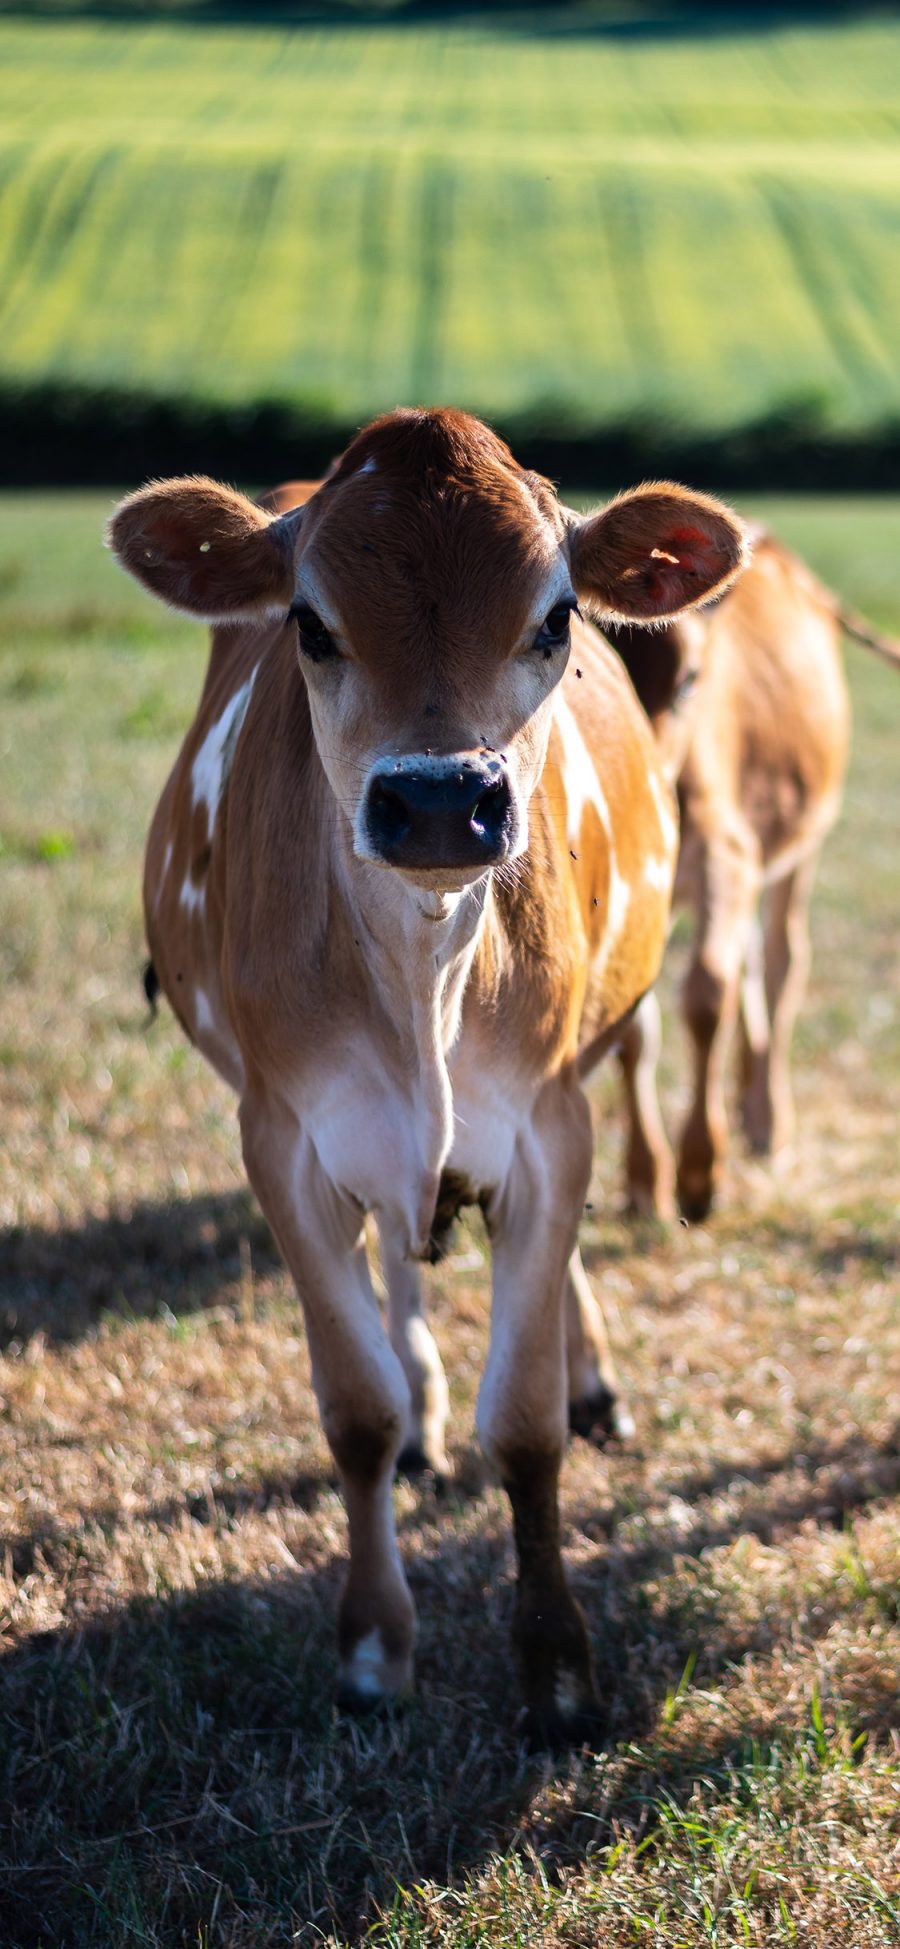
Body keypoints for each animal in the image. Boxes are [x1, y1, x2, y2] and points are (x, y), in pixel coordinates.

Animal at [110, 407, 744, 1738]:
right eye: (309, 622)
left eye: (556, 617)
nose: (444, 799)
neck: (422, 972)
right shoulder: (284, 1139)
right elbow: (355, 1409)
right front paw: (372, 1646)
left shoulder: (552, 1124)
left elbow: (530, 1425)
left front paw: (556, 1663)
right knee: (397, 1263)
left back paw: (588, 1372)